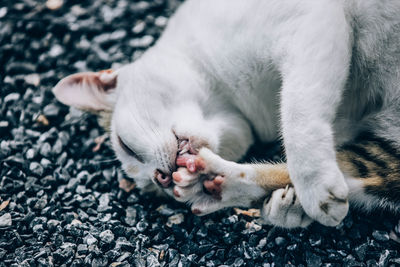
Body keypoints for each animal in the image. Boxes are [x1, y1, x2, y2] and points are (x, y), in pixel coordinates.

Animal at [51, 0, 400, 229]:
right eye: (156, 190)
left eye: (126, 146)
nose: (162, 177)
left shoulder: (309, 23)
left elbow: (297, 113)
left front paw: (313, 182)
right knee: (371, 175)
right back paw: (218, 184)